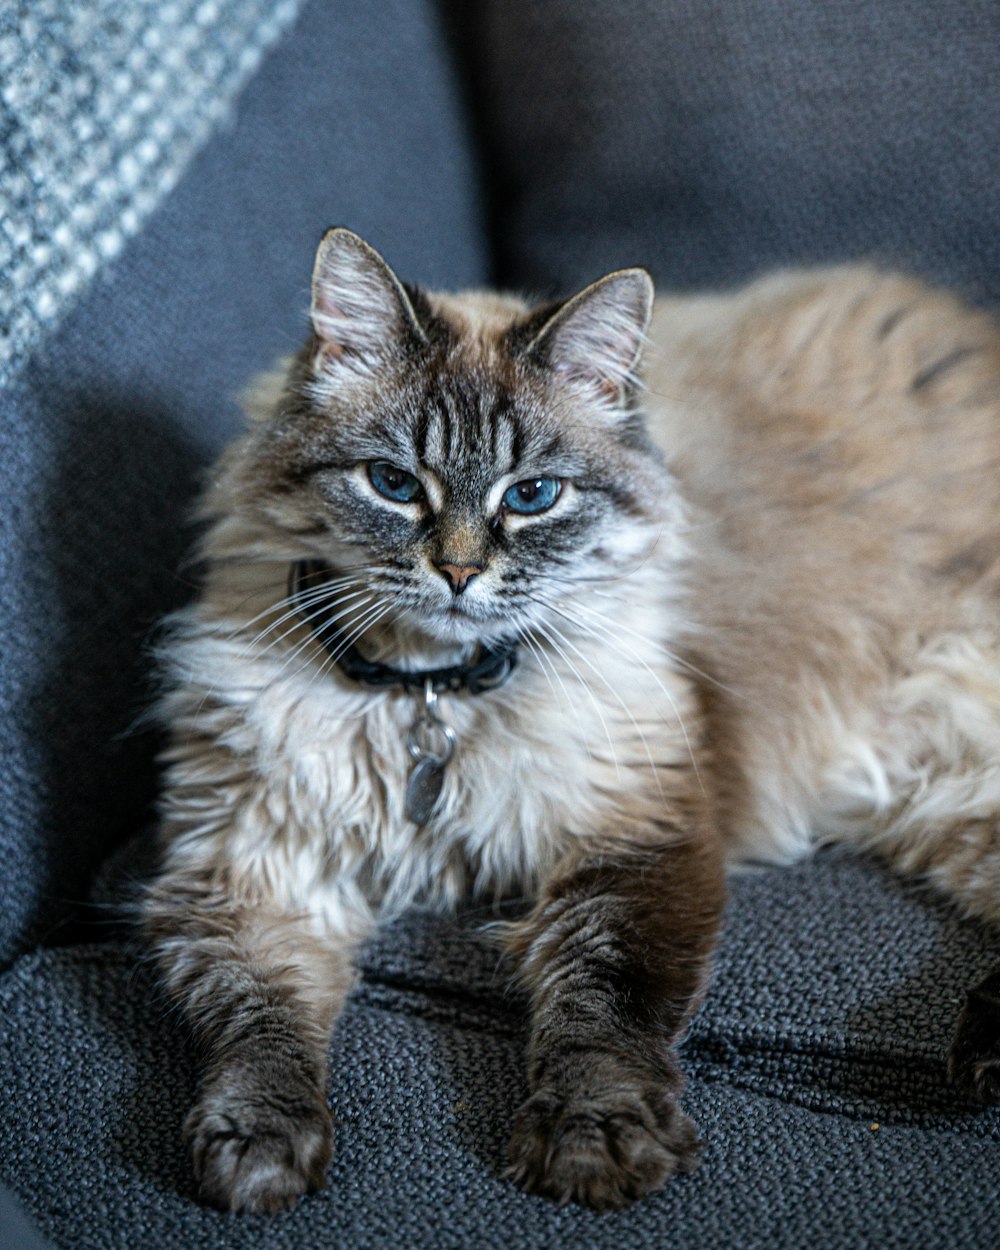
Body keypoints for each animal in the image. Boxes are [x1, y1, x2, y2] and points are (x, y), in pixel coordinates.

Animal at [144, 225, 1000, 1210]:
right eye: (394, 483)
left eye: (532, 496)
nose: (459, 573)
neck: (430, 691)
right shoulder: (253, 869)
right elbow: (258, 1026)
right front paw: (260, 1151)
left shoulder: (627, 840)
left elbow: (601, 1011)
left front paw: (593, 1146)